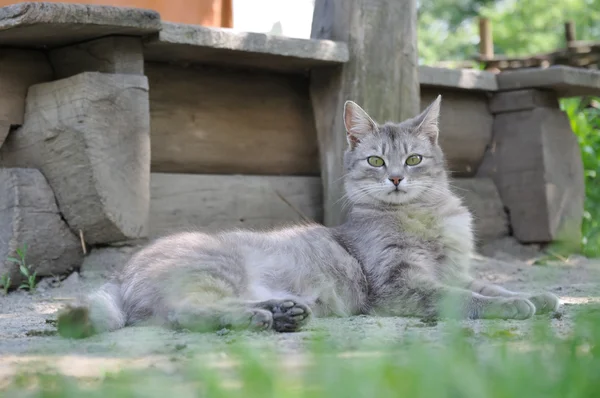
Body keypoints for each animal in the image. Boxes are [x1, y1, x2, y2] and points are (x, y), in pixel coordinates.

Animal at [56, 95, 556, 338]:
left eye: (413, 160)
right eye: (376, 161)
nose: (396, 178)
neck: (421, 216)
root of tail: (122, 273)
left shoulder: (456, 270)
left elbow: (488, 285)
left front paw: (540, 296)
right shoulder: (402, 284)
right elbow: (464, 299)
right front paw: (515, 305)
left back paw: (282, 313)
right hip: (216, 269)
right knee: (183, 312)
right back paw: (262, 318)